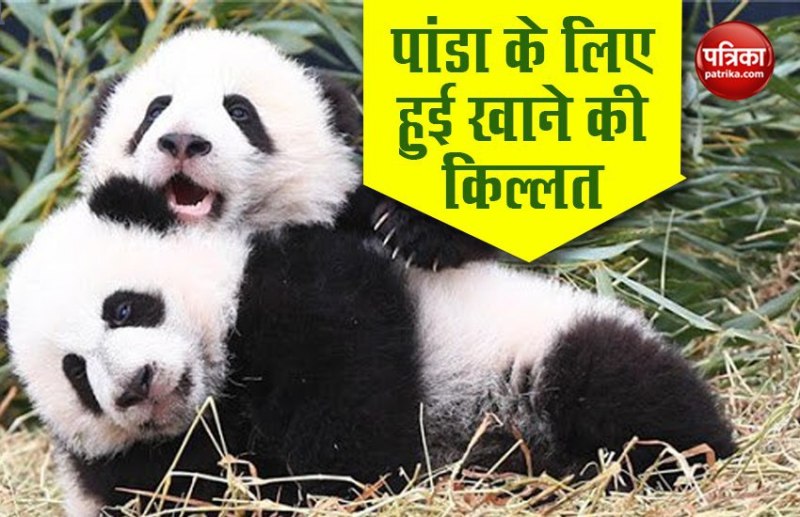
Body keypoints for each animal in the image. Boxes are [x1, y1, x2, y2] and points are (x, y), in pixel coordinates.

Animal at [9, 178, 734, 515]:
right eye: (76, 373)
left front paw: (348, 480)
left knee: (619, 391)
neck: (218, 394)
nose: (136, 385)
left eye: (124, 307)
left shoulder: (299, 281)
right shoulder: (127, 466)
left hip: (536, 347)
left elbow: (345, 390)